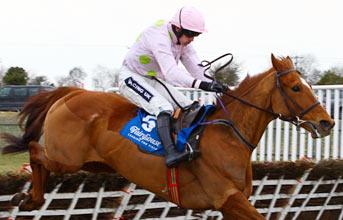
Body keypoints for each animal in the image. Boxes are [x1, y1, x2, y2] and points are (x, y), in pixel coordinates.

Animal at [1, 54, 334, 218]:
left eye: (307, 84)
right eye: (295, 87)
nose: (327, 122)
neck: (228, 135)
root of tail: (72, 92)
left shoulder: (231, 205)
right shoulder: (228, 199)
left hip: (92, 164)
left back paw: (29, 199)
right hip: (66, 158)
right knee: (35, 150)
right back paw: (29, 197)